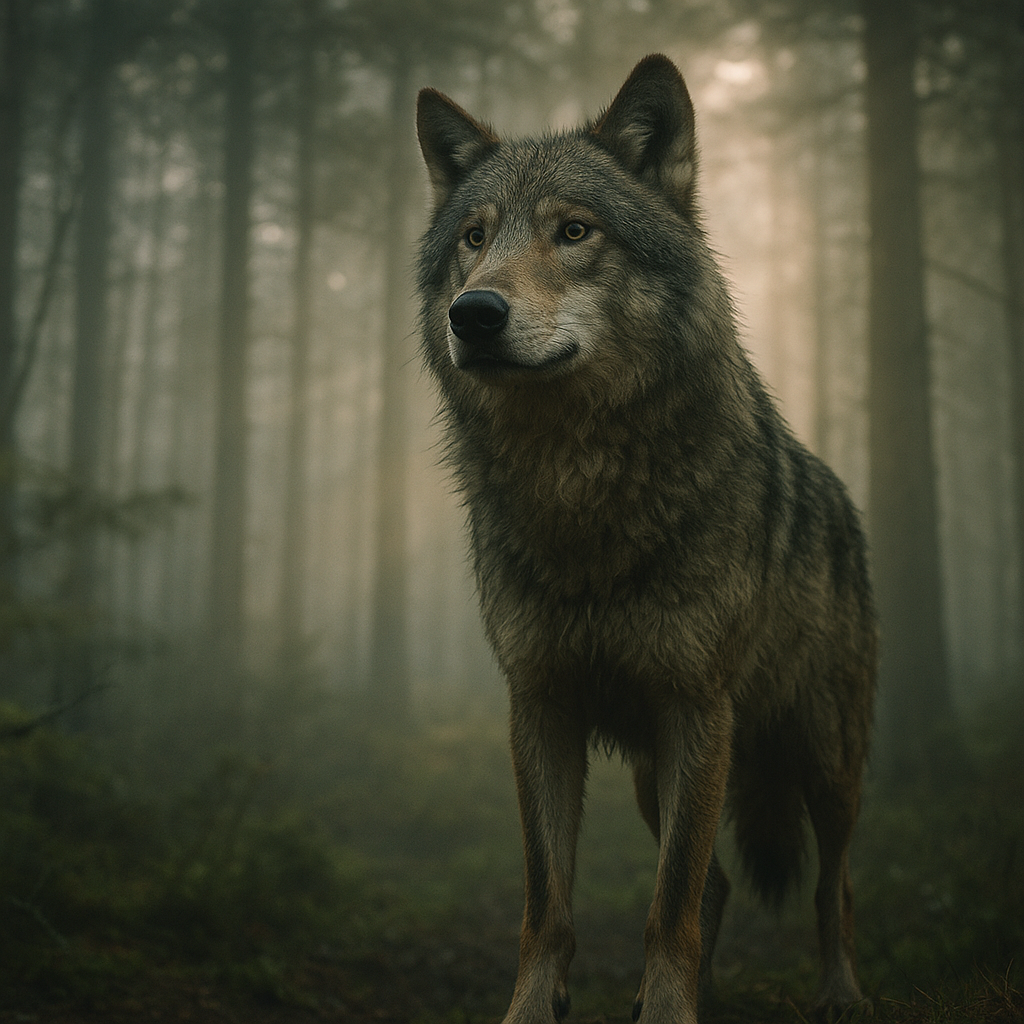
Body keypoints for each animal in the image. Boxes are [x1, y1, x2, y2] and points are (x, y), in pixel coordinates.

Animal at [415, 54, 877, 1024]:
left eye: (574, 231)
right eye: (474, 238)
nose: (473, 313)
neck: (579, 495)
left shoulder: (695, 708)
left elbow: (668, 905)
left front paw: (668, 1010)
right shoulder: (540, 707)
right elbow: (547, 901)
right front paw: (535, 1008)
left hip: (821, 760)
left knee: (832, 885)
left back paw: (842, 994)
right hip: (649, 771)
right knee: (719, 885)